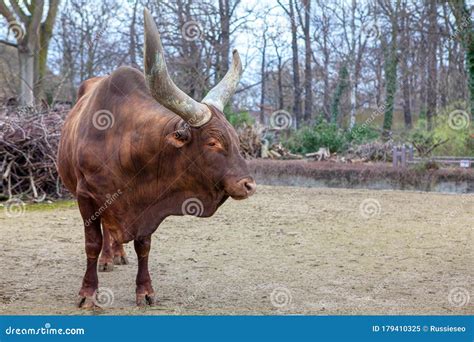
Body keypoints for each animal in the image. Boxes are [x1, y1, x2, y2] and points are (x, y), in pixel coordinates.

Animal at [57, 8, 258, 308]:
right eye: (212, 142)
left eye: (235, 138)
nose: (249, 185)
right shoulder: (86, 196)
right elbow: (92, 243)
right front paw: (87, 293)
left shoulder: (149, 203)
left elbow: (143, 246)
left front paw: (145, 290)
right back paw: (107, 259)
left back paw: (117, 254)